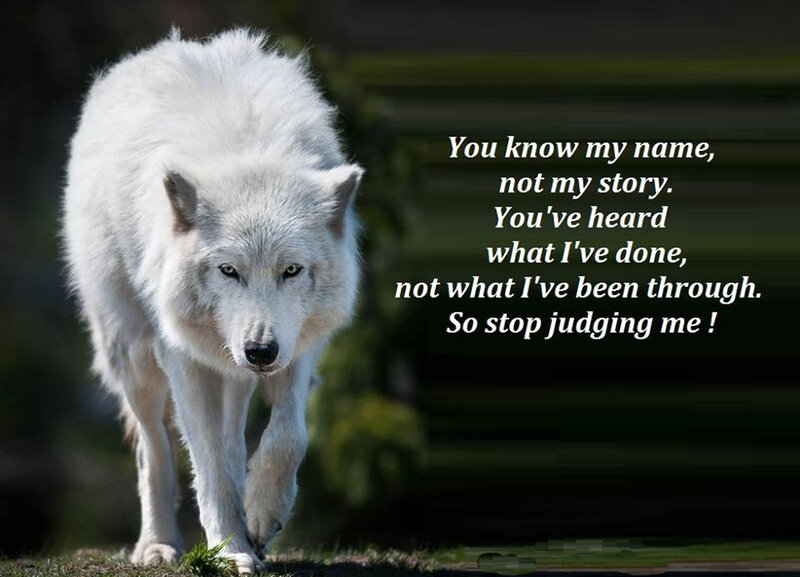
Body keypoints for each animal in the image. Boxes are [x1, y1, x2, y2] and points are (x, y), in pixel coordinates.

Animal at [63, 29, 362, 573]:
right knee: (154, 452)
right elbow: (205, 466)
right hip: (134, 357)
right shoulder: (183, 359)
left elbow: (288, 437)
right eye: (229, 270)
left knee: (233, 439)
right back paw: (158, 545)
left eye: (291, 270)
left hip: (230, 368)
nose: (259, 351)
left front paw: (260, 517)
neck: (247, 151)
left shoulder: (299, 346)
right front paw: (231, 549)